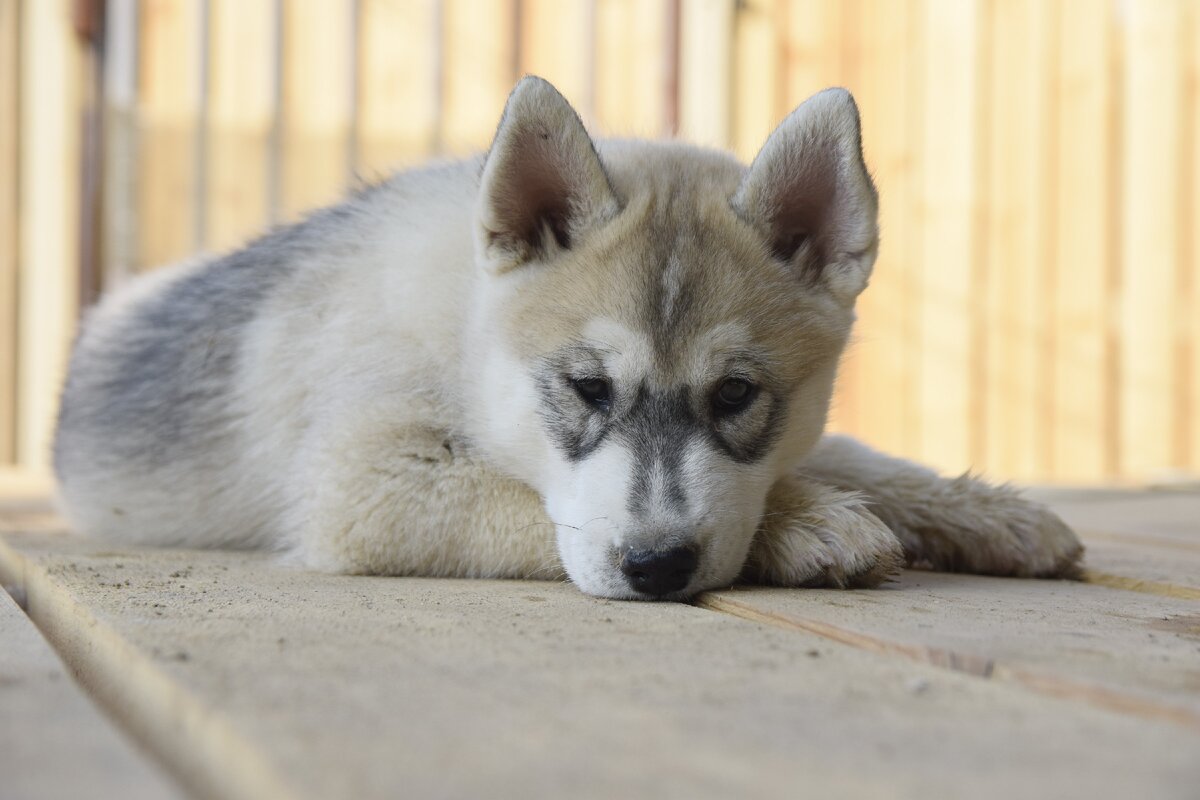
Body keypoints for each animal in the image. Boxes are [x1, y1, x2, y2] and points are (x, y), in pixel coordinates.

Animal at [51, 77, 1084, 597]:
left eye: (736, 395)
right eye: (587, 389)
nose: (658, 569)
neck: (467, 331)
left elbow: (849, 456)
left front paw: (983, 513)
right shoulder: (361, 485)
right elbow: (537, 508)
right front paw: (807, 527)